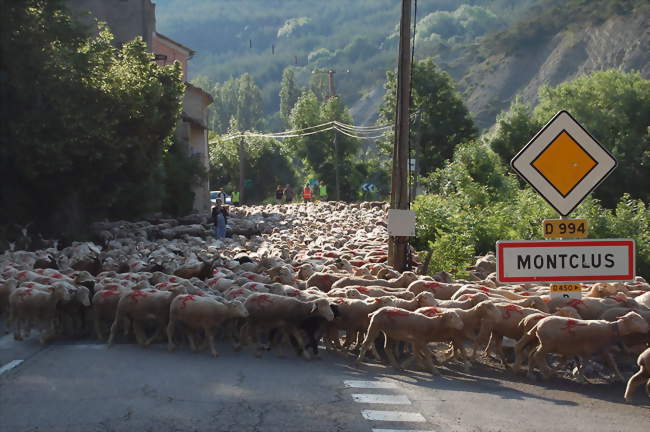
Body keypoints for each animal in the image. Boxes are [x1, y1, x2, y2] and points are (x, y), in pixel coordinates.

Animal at [516, 310, 648, 382]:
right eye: (635, 320)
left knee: (533, 354)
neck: (611, 329)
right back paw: (547, 372)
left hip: (543, 343)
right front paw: (580, 378)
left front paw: (620, 378)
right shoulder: (589, 350)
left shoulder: (602, 350)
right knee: (537, 355)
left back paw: (531, 374)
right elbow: (584, 365)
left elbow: (612, 364)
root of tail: (539, 323)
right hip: (547, 344)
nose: (647, 328)